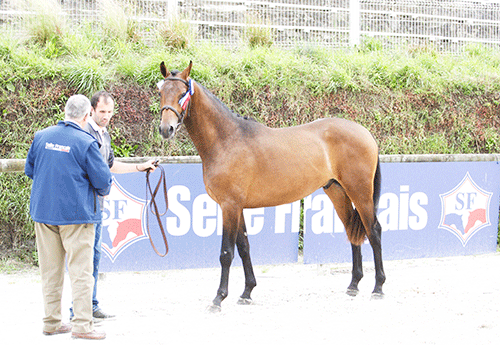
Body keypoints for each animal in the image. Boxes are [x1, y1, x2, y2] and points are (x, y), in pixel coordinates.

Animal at [158, 60, 384, 310]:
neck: (227, 140)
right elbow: (244, 247)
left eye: (182, 94)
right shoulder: (237, 207)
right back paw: (353, 284)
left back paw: (378, 287)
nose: (166, 129)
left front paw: (219, 298)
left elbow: (226, 253)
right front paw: (247, 292)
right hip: (337, 191)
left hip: (360, 192)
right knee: (352, 231)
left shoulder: (229, 206)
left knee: (373, 231)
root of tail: (366, 133)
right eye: (161, 92)